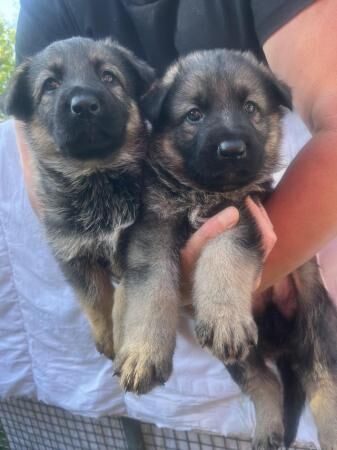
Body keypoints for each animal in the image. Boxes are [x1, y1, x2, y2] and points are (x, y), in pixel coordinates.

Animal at [4, 37, 154, 362]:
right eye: (51, 84)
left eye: (109, 77)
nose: (84, 105)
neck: (96, 176)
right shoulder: (73, 256)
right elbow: (95, 300)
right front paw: (107, 335)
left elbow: (126, 296)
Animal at [113, 50, 336, 450]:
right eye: (194, 115)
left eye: (250, 108)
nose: (232, 150)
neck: (201, 192)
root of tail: (280, 346)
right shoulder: (152, 228)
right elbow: (150, 290)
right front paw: (143, 352)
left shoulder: (242, 214)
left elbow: (224, 256)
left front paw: (223, 317)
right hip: (241, 360)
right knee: (265, 383)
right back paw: (268, 430)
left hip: (316, 330)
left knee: (323, 387)